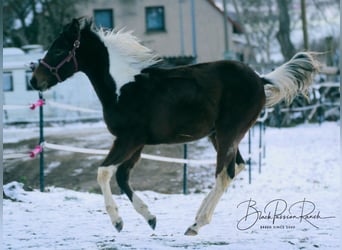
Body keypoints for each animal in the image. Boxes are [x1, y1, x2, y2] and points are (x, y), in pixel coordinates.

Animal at [30, 18, 320, 235]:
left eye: (59, 50)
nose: (34, 81)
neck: (123, 88)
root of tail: (260, 78)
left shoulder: (127, 139)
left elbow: (103, 172)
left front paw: (117, 222)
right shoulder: (136, 143)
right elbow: (122, 176)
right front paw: (150, 218)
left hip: (228, 133)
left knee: (223, 173)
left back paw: (196, 224)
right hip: (220, 135)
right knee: (235, 168)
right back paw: (197, 219)